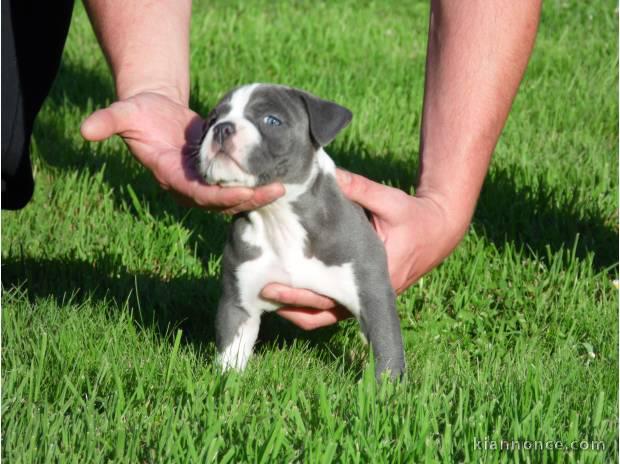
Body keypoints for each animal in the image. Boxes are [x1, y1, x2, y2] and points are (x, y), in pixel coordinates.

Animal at [196, 84, 404, 380]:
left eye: (272, 120)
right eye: (212, 119)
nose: (222, 128)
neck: (278, 216)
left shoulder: (373, 292)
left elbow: (387, 347)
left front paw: (385, 388)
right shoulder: (237, 302)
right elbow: (231, 351)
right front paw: (226, 382)